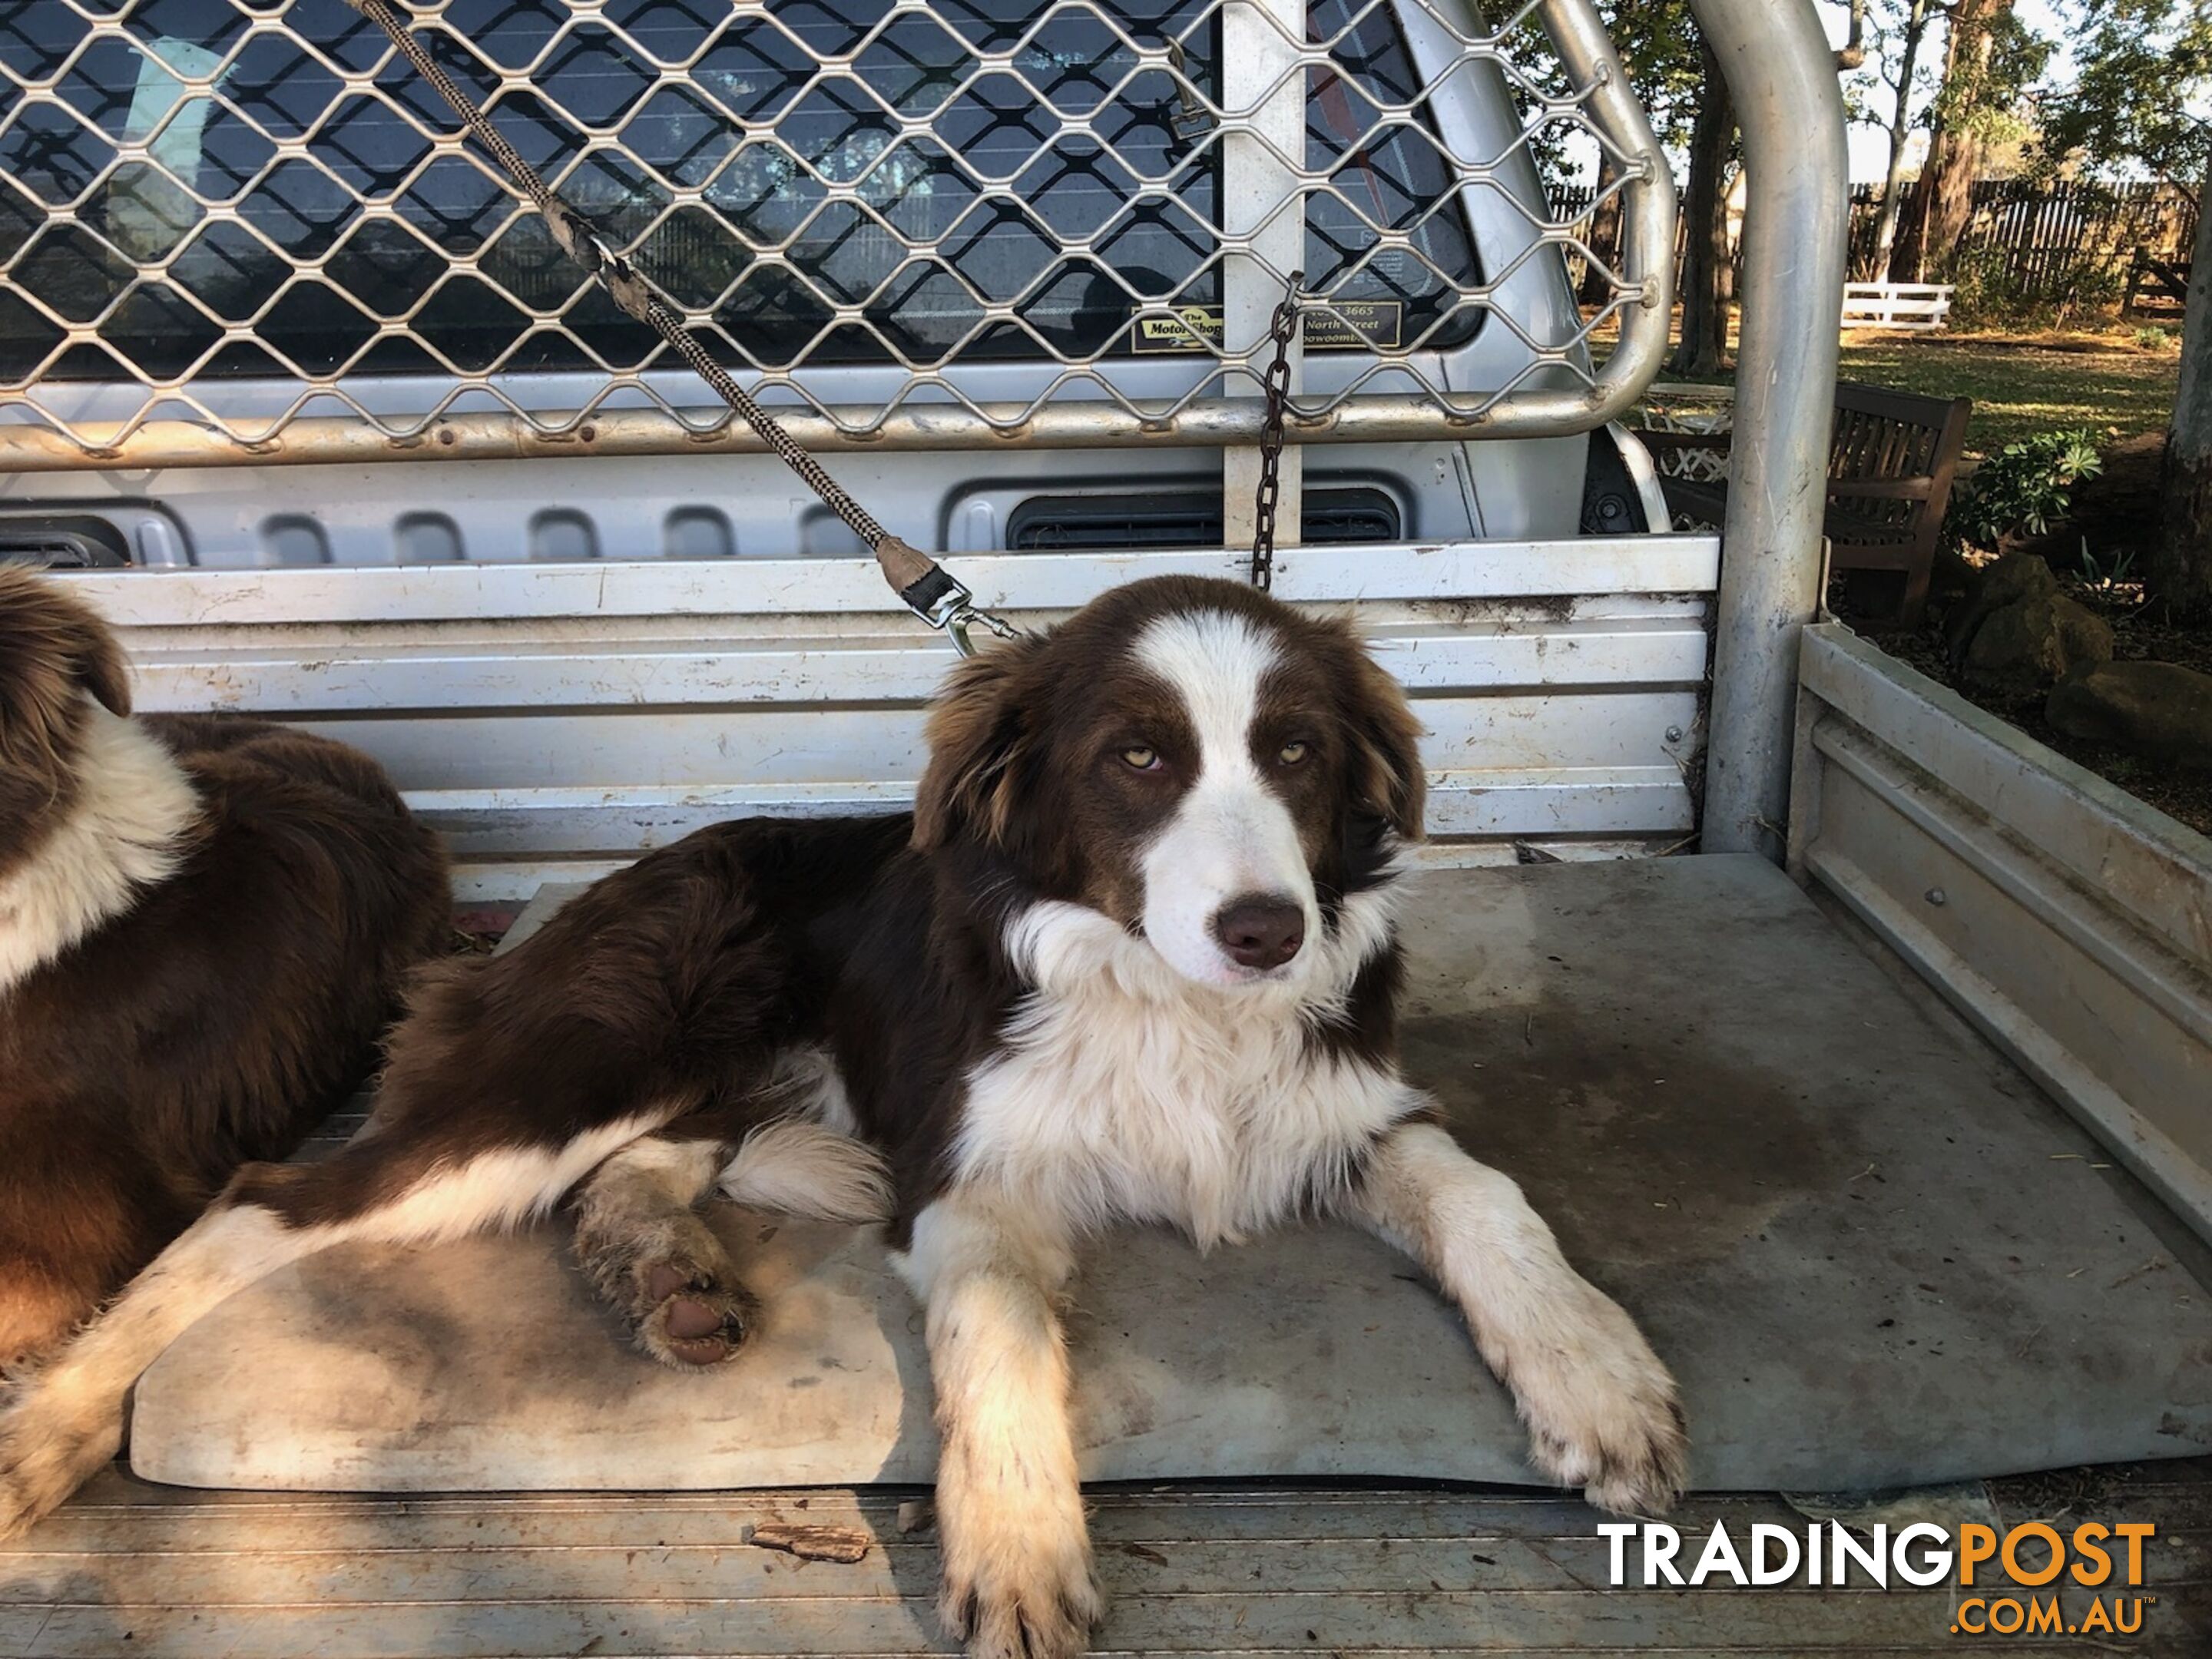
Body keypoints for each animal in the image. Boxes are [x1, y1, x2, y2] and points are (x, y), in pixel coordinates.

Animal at [0, 575, 1681, 1659]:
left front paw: (1596, 1378)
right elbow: (996, 1331)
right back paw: (51, 1431)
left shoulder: (1352, 1105)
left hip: (703, 1075)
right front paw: (1018, 1550)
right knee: (270, 1203)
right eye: (1139, 756)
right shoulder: (966, 1174)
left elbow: (1488, 1197)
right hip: (596, 1050)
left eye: (1296, 750)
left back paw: (671, 1276)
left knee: (635, 1172)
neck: (1163, 1002)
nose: (1269, 932)